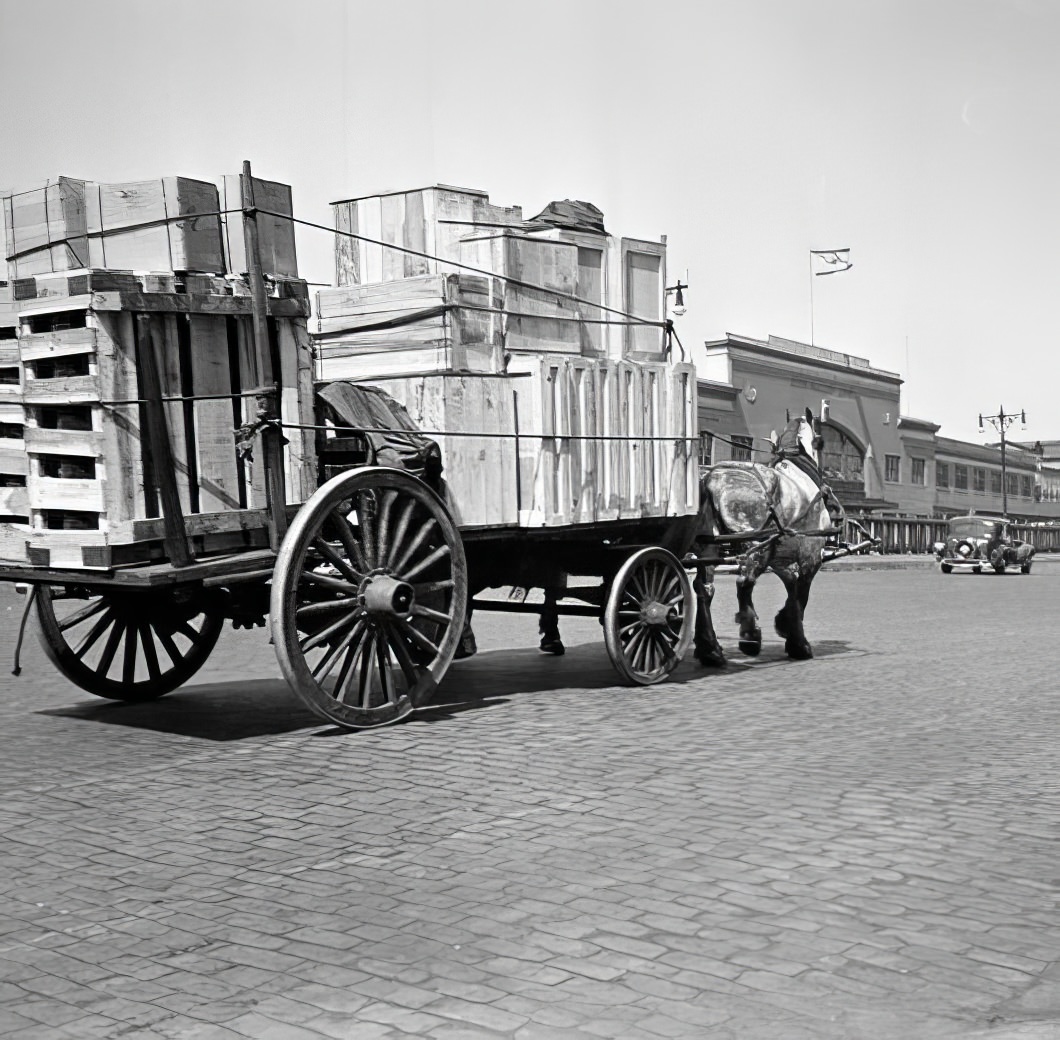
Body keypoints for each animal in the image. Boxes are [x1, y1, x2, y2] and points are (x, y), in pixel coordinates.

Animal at [686, 407, 843, 665]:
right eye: (820, 442)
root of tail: (710, 480)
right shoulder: (810, 555)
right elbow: (801, 594)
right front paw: (798, 642)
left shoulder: (780, 557)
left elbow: (792, 587)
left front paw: (784, 623)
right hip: (755, 543)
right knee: (744, 582)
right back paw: (749, 634)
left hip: (709, 547)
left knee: (704, 589)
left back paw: (710, 647)